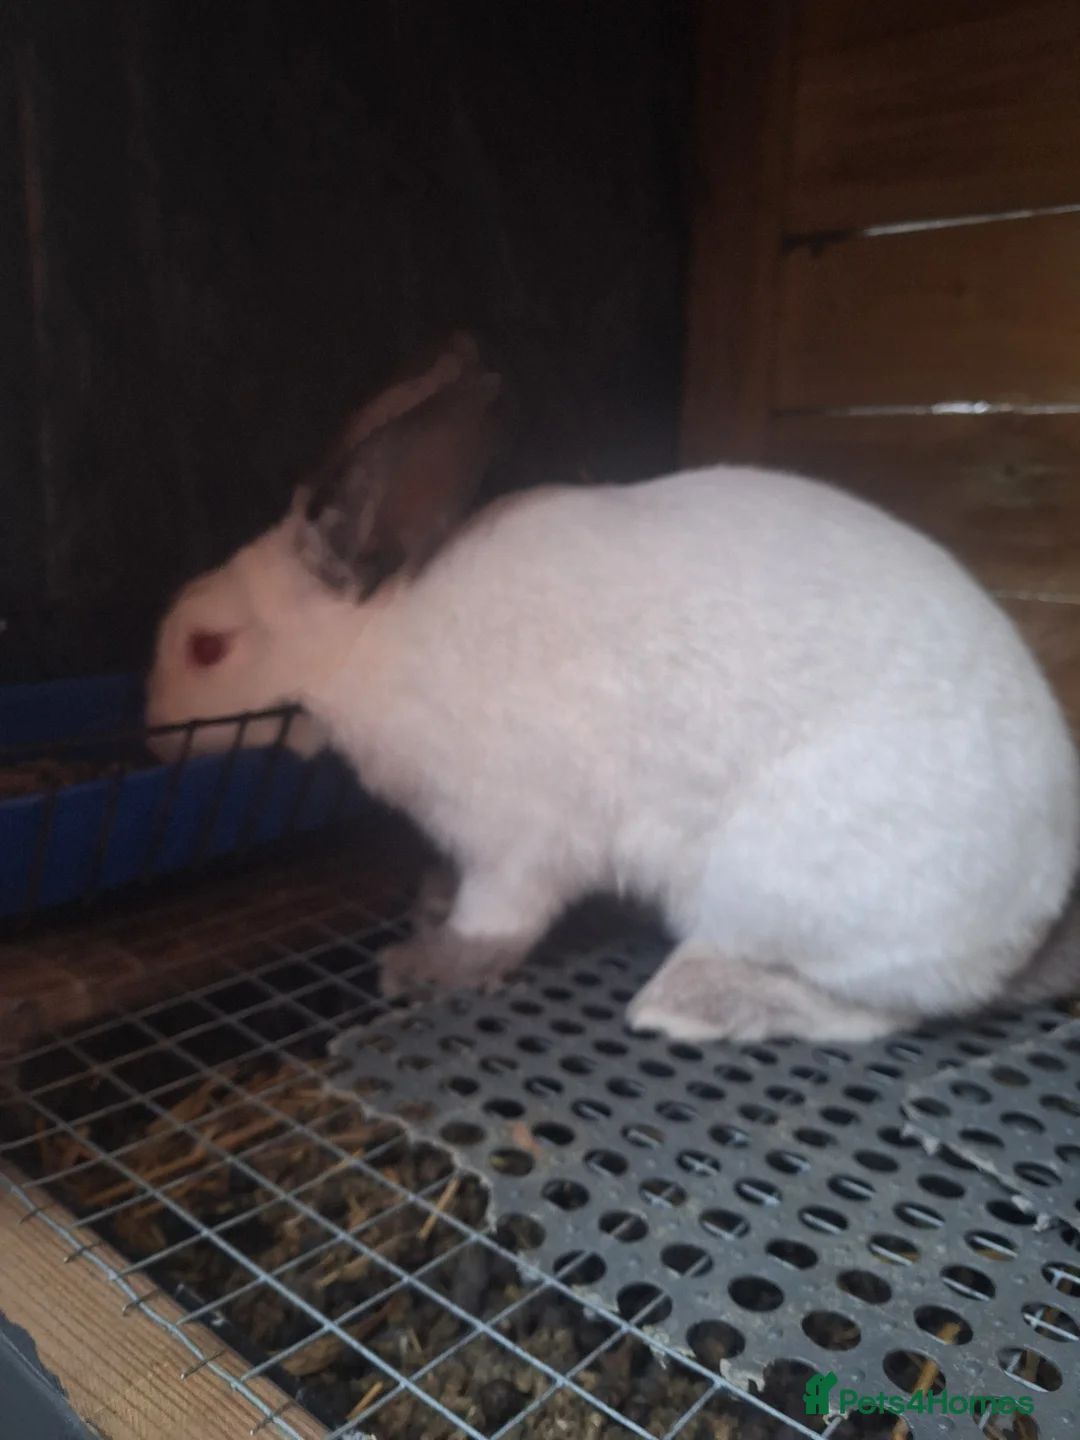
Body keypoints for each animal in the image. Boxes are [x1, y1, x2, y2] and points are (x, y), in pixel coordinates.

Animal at [145, 342, 1080, 1044]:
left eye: (206, 646)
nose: (152, 732)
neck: (374, 644)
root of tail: (1032, 916)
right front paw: (428, 902)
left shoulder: (515, 835)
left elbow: (499, 917)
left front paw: (425, 965)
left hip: (779, 889)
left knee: (883, 1013)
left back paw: (688, 1002)